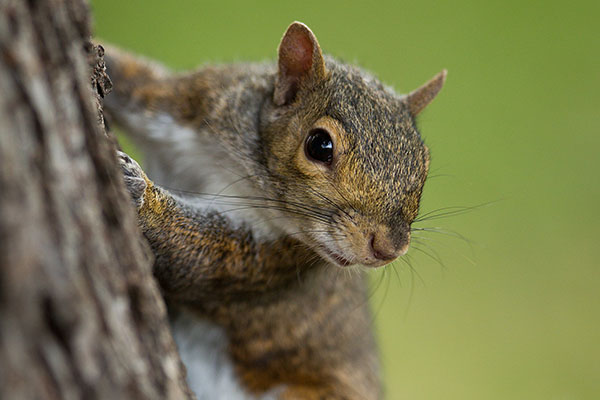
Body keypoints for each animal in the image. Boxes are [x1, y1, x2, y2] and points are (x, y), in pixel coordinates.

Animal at [104, 21, 446, 400]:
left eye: (424, 163)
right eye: (319, 145)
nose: (390, 248)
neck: (240, 170)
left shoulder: (269, 259)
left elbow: (198, 254)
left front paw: (140, 193)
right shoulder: (197, 100)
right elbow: (137, 80)